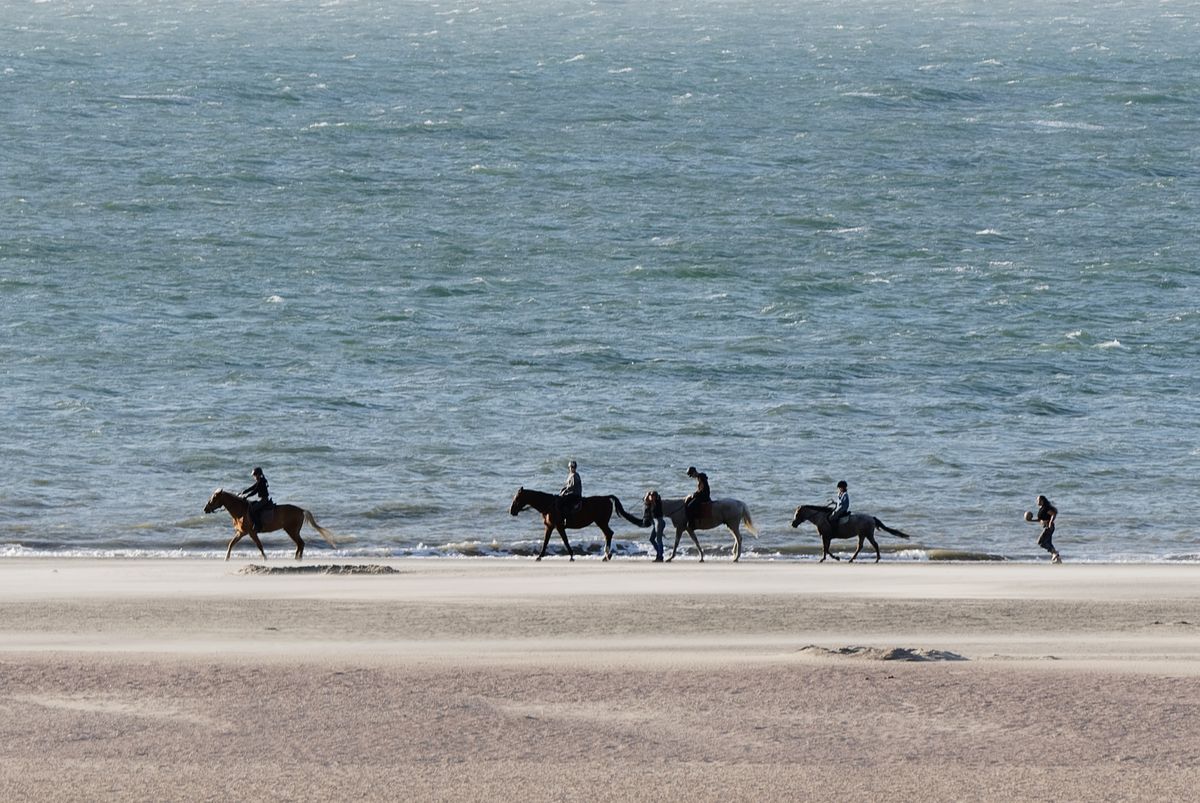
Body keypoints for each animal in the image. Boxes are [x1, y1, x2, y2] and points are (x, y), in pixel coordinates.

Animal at [204, 484, 338, 561]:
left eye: (214, 498)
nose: (205, 509)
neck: (240, 511)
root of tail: (301, 510)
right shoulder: (241, 533)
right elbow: (231, 544)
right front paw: (226, 558)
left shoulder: (251, 532)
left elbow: (259, 545)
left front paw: (265, 559)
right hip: (292, 531)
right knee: (300, 544)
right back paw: (297, 559)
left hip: (292, 531)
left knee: (300, 543)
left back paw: (297, 559)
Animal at [511, 484, 652, 561]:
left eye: (517, 498)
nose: (511, 511)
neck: (549, 505)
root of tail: (606, 498)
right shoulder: (550, 527)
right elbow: (546, 542)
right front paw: (539, 556)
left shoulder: (559, 526)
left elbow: (565, 541)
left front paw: (571, 556)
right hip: (601, 522)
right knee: (608, 534)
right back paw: (606, 556)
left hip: (601, 522)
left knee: (609, 534)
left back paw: (607, 555)